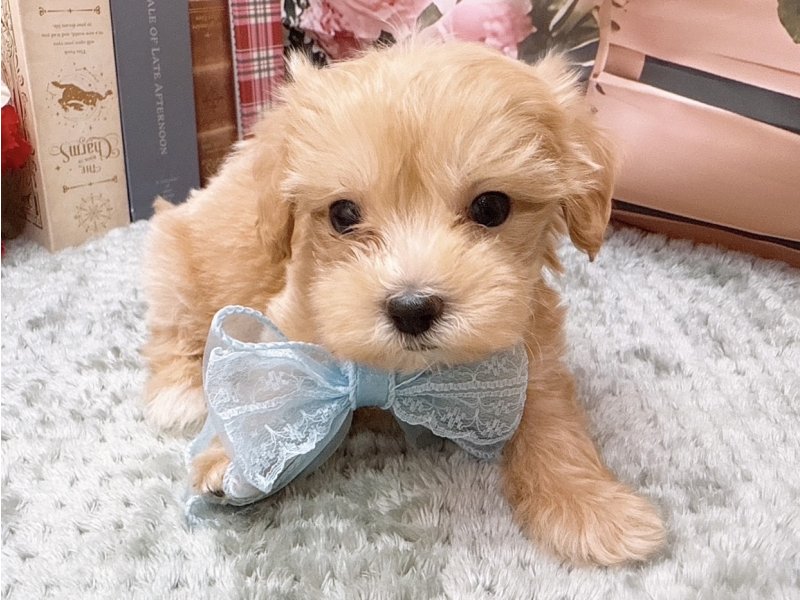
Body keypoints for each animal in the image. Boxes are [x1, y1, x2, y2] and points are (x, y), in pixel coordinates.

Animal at [142, 41, 665, 566]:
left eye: (491, 207)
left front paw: (592, 508)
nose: (412, 308)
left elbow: (552, 418)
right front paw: (231, 457)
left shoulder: (531, 345)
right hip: (184, 260)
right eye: (343, 214)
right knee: (175, 325)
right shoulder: (290, 325)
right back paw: (180, 389)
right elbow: (268, 383)